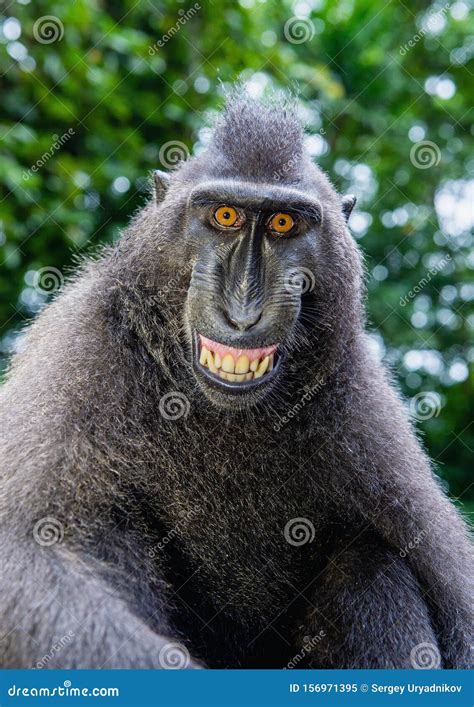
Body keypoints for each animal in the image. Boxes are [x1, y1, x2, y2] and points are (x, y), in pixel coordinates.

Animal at [0, 94, 472, 670]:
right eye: (225, 216)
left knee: (368, 561)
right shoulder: (81, 351)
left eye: (284, 223)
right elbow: (25, 556)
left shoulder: (361, 404)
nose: (243, 310)